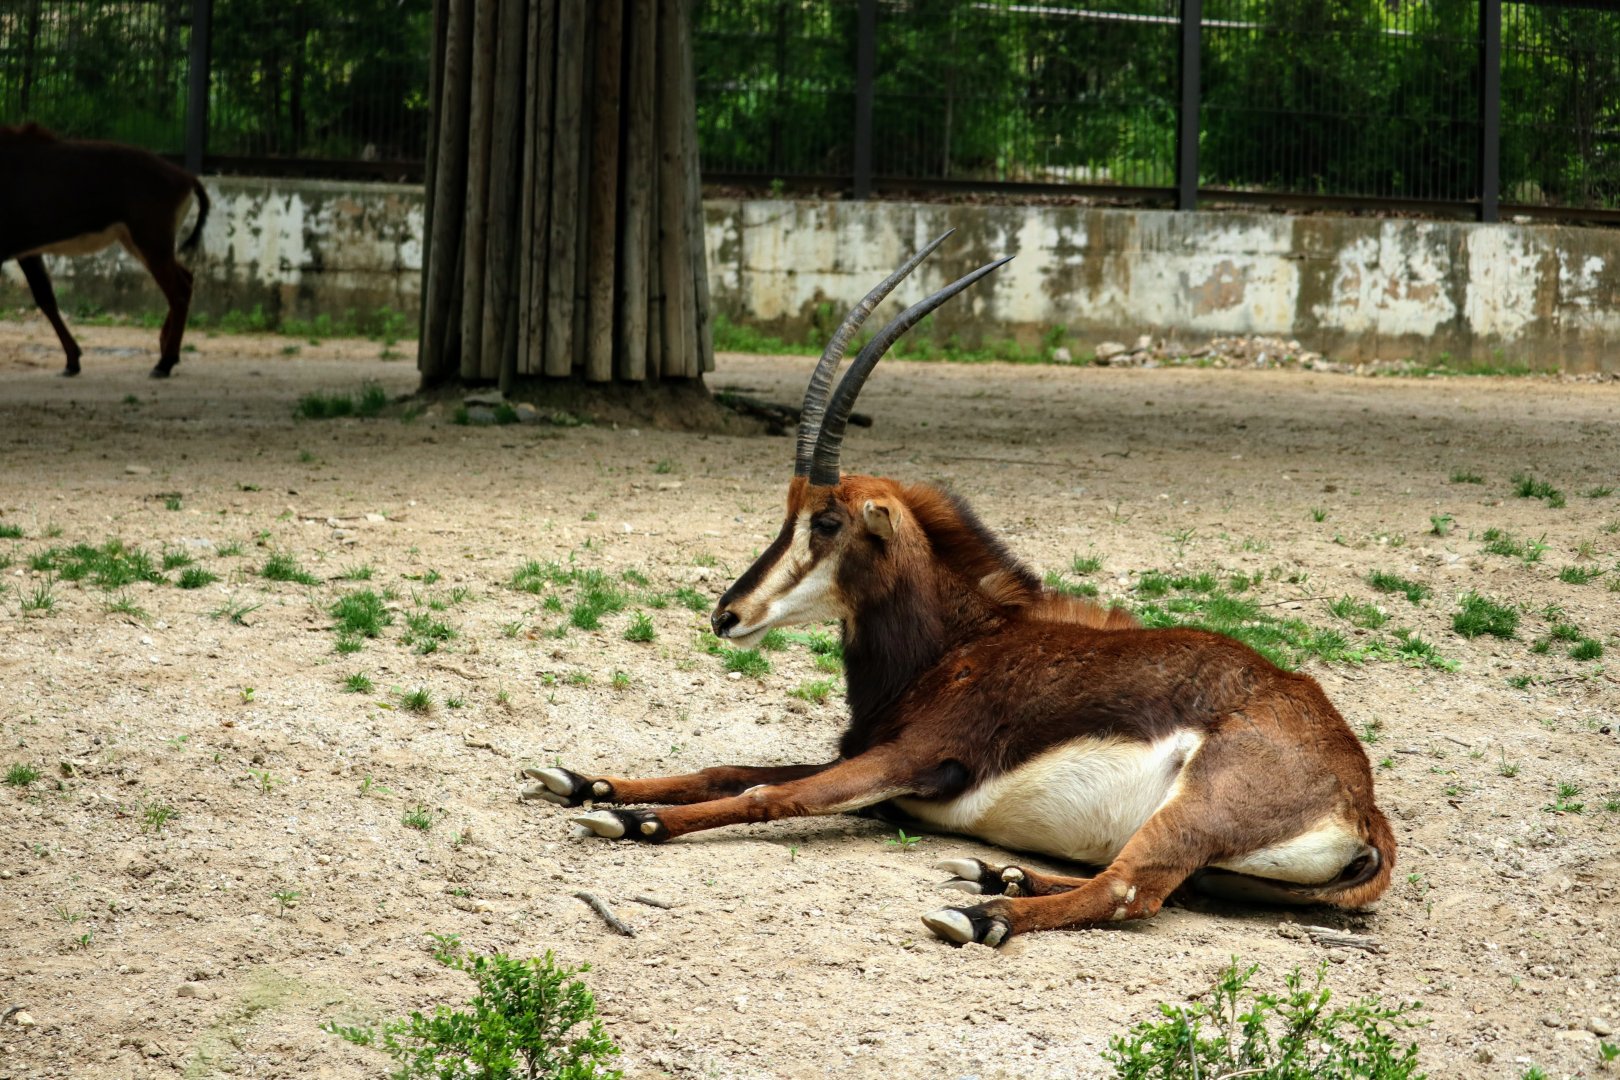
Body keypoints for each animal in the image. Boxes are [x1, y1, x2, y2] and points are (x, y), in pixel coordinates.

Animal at [1, 123, 210, 377]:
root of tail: (187, 178)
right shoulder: (27, 252)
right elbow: (46, 298)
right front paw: (72, 361)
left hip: (151, 241)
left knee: (178, 291)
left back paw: (164, 364)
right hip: (138, 242)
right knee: (186, 280)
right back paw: (166, 348)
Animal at [521, 233, 1395, 947]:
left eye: (828, 522)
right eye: (786, 511)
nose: (727, 615)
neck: (960, 643)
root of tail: (1362, 803)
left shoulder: (912, 760)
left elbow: (772, 794)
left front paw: (630, 816)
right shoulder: (872, 763)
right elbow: (730, 766)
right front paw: (588, 782)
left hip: (1194, 808)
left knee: (1130, 889)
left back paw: (981, 912)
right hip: (1216, 861)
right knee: (1157, 885)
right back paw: (997, 874)